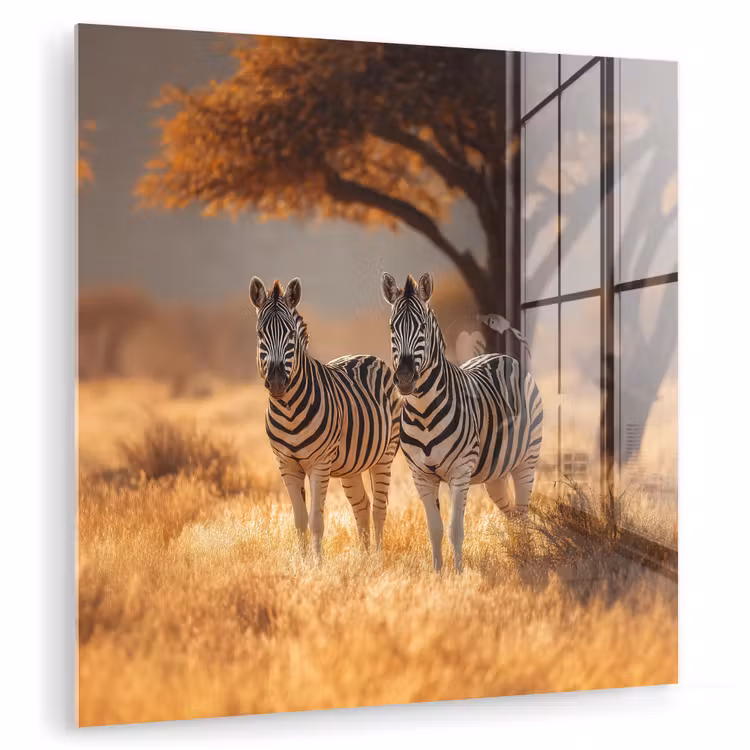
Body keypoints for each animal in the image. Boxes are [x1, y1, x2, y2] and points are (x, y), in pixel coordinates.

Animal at [249, 276, 401, 560]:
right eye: (260, 334)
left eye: (291, 334)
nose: (276, 382)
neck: (288, 410)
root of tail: (368, 356)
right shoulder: (286, 465)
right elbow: (299, 521)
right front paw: (302, 563)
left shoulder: (319, 464)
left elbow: (316, 520)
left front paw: (318, 564)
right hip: (350, 464)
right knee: (362, 505)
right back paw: (364, 560)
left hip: (384, 455)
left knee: (379, 508)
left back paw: (376, 559)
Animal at [381, 272, 543, 572]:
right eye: (392, 327)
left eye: (422, 326)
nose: (405, 378)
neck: (423, 412)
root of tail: (501, 356)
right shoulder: (421, 476)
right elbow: (434, 529)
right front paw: (438, 574)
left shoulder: (460, 471)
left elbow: (455, 529)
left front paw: (458, 574)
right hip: (495, 472)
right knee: (512, 513)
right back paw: (518, 554)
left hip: (527, 460)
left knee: (523, 512)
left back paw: (528, 558)